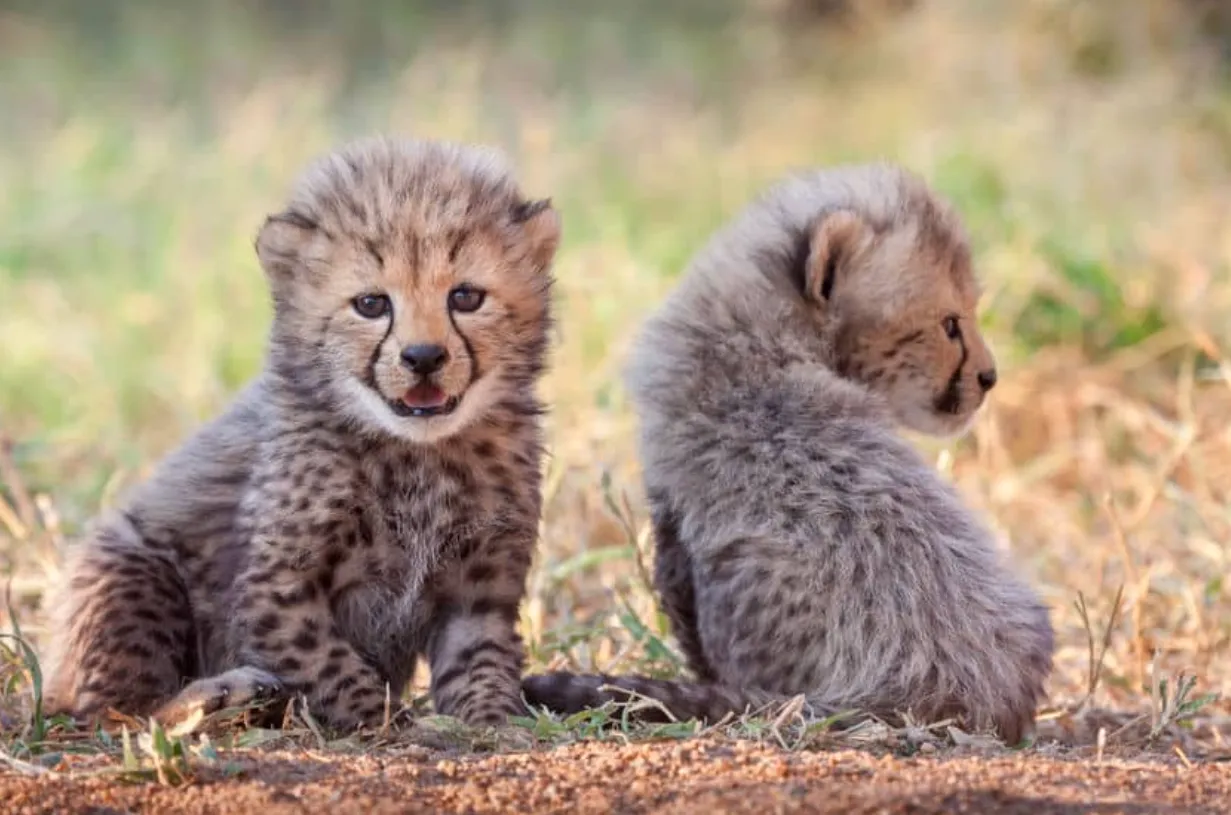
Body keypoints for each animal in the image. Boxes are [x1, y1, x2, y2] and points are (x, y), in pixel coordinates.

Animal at [40, 135, 562, 733]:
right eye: (371, 304)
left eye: (466, 297)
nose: (424, 357)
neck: (416, 453)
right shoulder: (279, 590)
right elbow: (329, 663)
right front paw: (386, 723)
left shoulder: (477, 595)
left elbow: (482, 664)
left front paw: (494, 721)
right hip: (134, 567)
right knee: (117, 712)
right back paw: (226, 695)